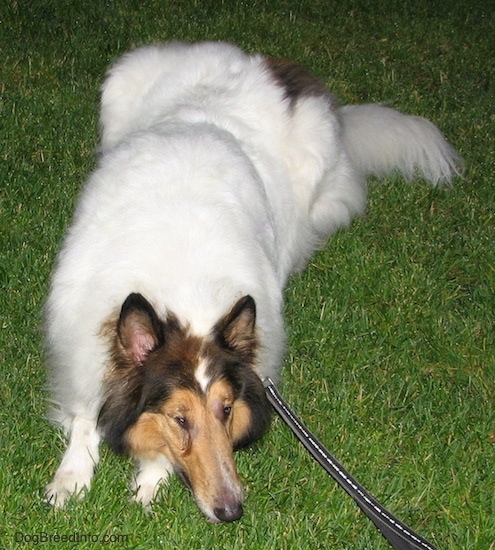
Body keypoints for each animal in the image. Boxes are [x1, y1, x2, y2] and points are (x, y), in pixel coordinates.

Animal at [44, 41, 464, 524]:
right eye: (180, 418)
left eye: (226, 409)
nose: (231, 510)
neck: (182, 293)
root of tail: (274, 68)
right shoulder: (80, 339)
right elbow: (83, 416)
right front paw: (70, 479)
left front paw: (150, 479)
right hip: (121, 84)